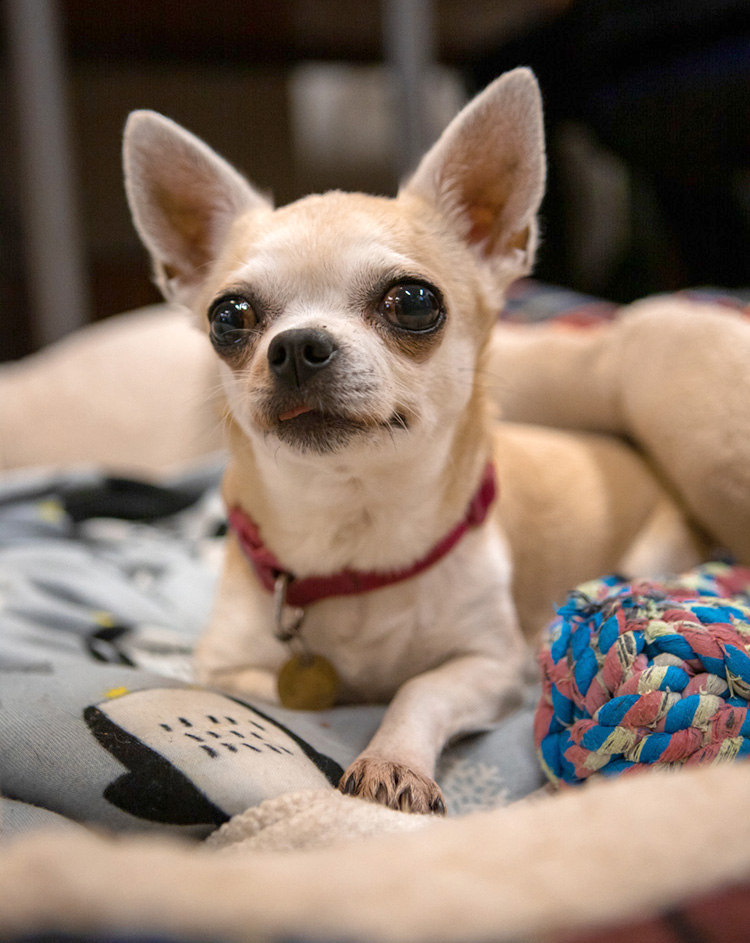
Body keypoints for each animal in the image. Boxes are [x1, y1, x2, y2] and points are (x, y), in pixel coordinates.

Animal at [123, 70, 704, 816]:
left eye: (414, 302)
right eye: (230, 316)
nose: (296, 346)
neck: (354, 527)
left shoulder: (495, 665)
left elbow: (418, 685)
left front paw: (391, 757)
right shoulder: (224, 667)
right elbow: (293, 687)